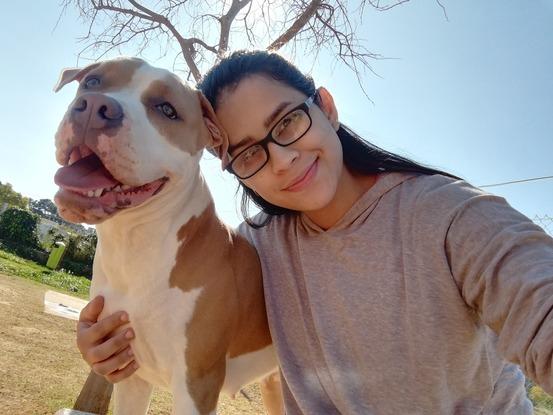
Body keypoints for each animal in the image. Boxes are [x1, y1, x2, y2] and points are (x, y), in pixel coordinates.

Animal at [53, 57, 278, 415]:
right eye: (93, 81)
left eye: (167, 110)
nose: (95, 106)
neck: (135, 244)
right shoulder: (130, 372)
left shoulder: (196, 384)